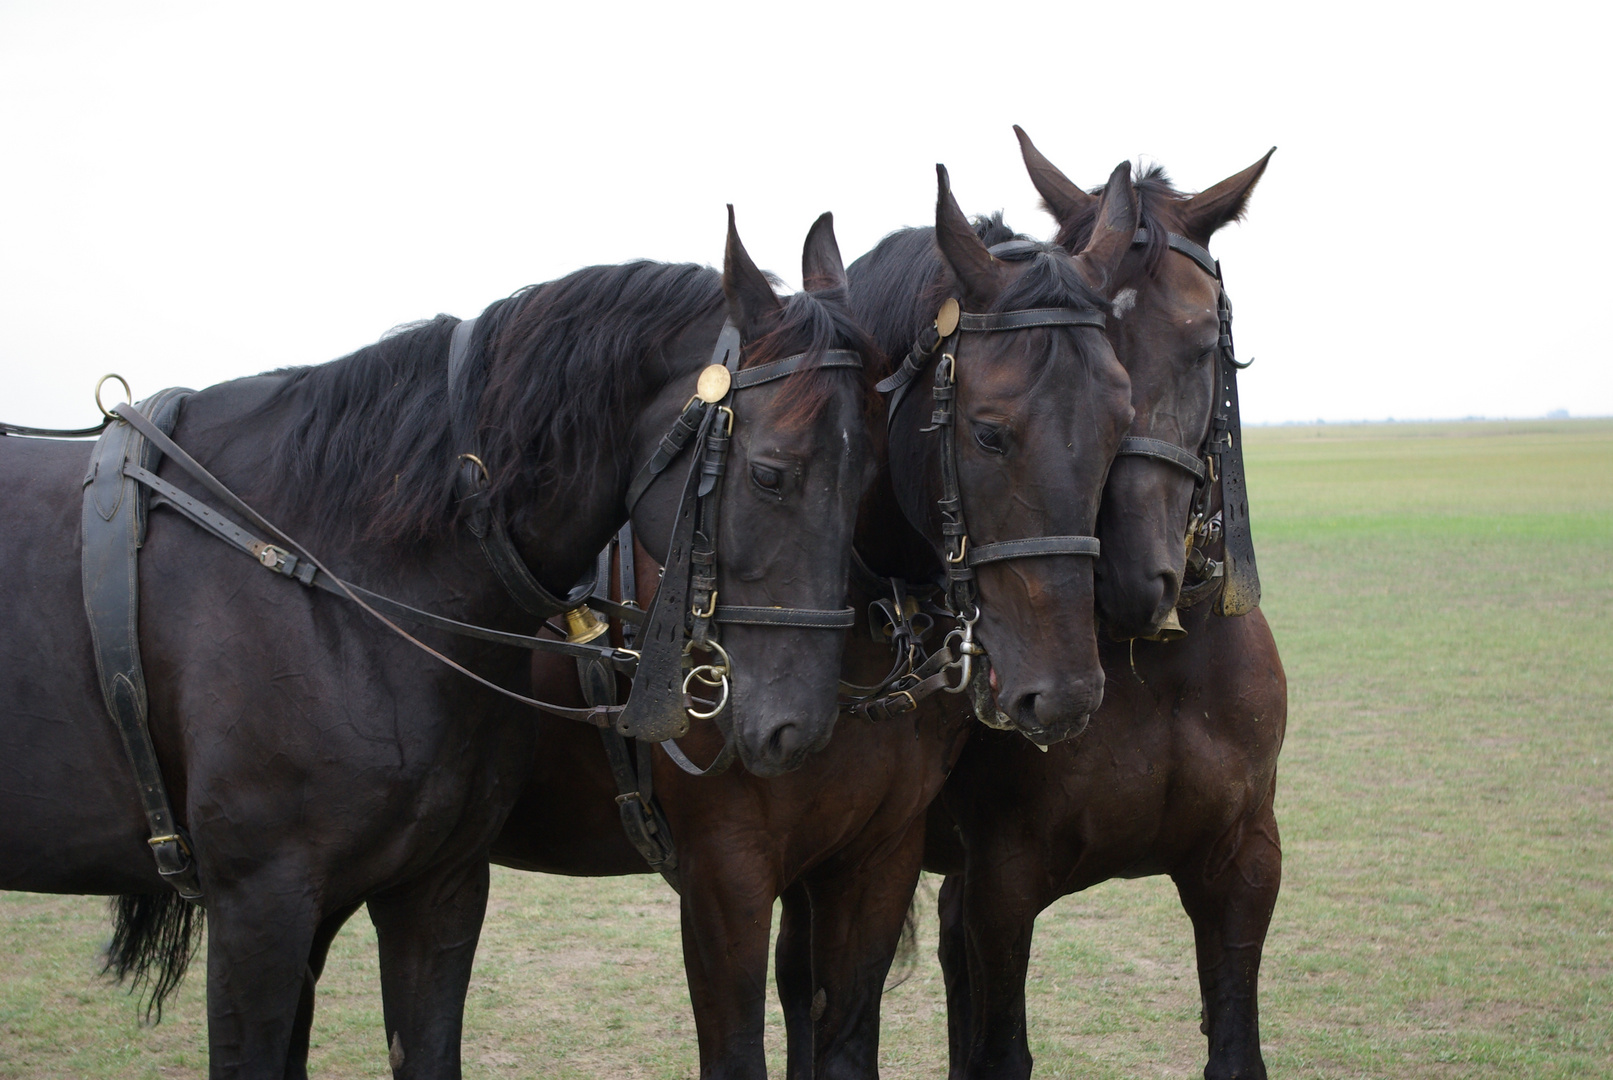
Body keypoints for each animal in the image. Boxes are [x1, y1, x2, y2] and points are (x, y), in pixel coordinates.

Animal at [0, 207, 871, 1076]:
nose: (800, 727)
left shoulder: (434, 890)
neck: (332, 565)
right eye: (770, 475)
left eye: (869, 478)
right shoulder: (260, 905)